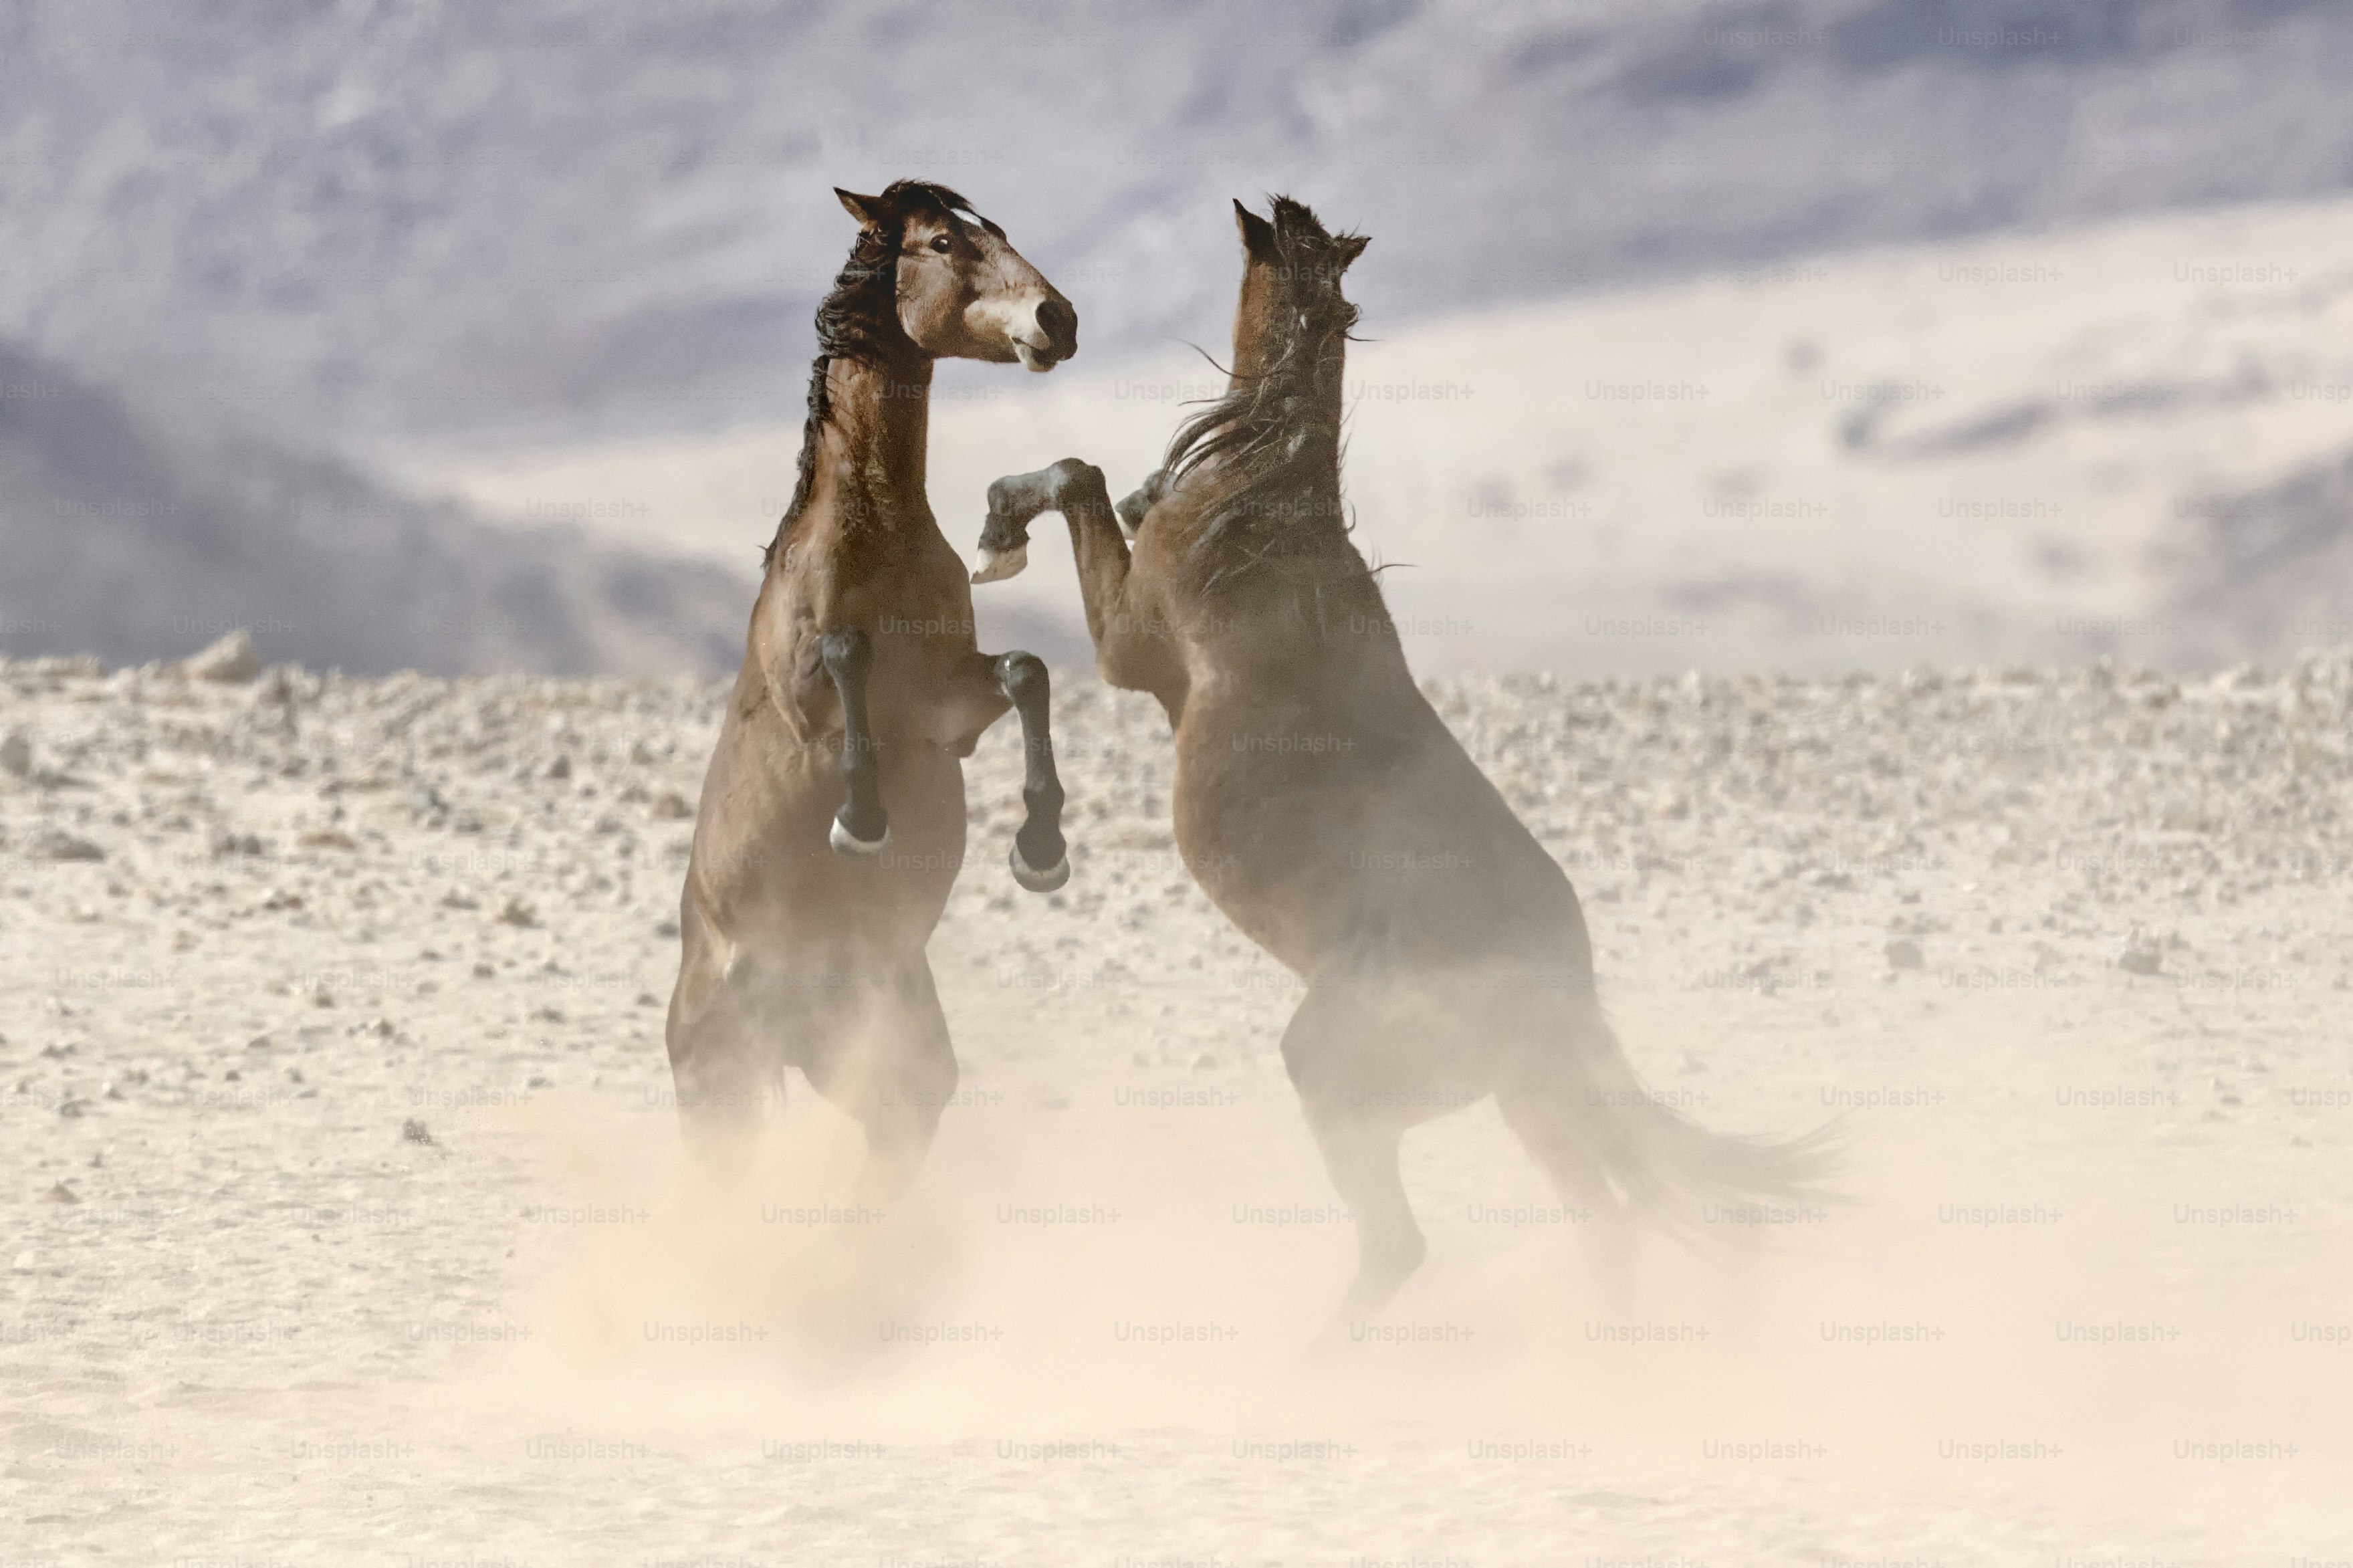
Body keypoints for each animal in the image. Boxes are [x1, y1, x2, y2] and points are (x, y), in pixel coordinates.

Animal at [666, 179, 1080, 1204]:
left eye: (994, 232)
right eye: (939, 242)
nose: (1057, 320)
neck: (879, 537)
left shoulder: (950, 717)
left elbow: (1027, 670)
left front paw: (1041, 850)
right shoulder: (812, 696)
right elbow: (847, 659)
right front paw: (861, 819)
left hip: (890, 1057)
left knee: (896, 1139)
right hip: (718, 1082)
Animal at [971, 196, 1835, 1330]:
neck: (1262, 506)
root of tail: (1562, 984)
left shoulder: (1129, 645)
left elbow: (1078, 477)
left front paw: (995, 529)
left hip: (1345, 1068)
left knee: (1403, 1241)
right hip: (1527, 1098)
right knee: (1603, 1218)